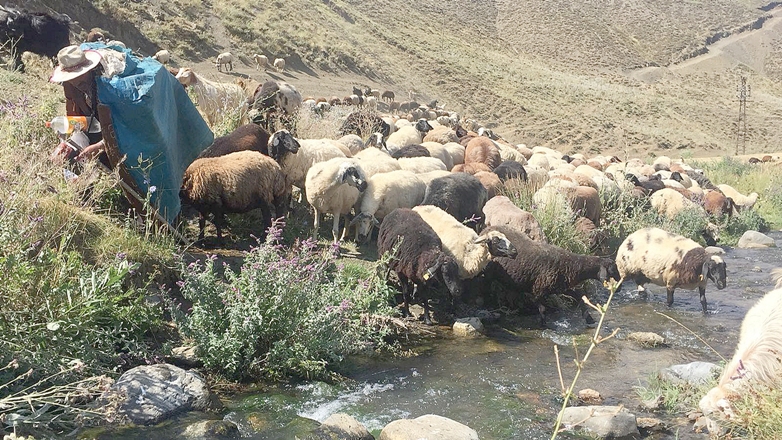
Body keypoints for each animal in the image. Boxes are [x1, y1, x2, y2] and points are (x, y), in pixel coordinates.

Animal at [484, 225, 619, 324]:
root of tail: (485, 230)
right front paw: (543, 325)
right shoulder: (539, 290)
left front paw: (589, 318)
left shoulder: (561, 287)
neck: (571, 265)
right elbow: (543, 309)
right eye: (612, 270)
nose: (619, 288)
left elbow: (579, 296)